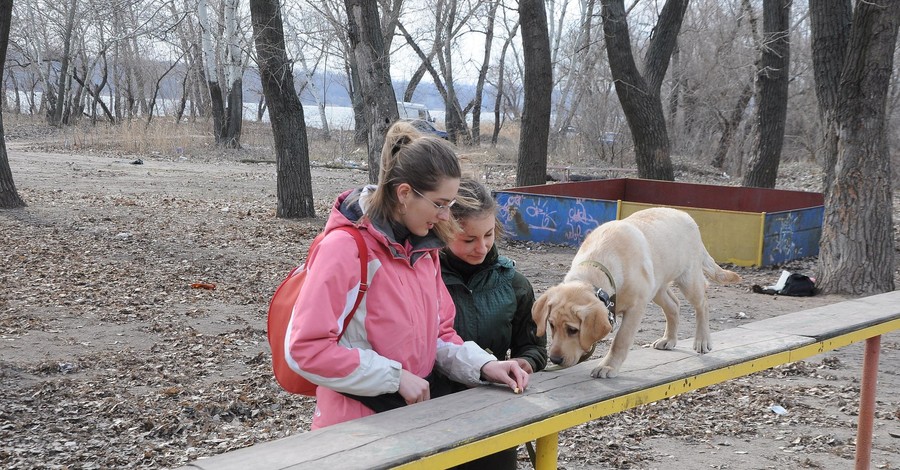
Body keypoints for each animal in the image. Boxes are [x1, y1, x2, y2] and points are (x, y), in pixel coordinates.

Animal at [536, 207, 740, 376]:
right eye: (551, 325)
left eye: (573, 330)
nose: (555, 359)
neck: (598, 268)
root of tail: (688, 217)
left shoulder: (636, 307)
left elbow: (621, 340)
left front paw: (608, 366)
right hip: (657, 287)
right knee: (674, 305)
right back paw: (669, 339)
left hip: (688, 280)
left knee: (702, 303)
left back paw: (702, 340)